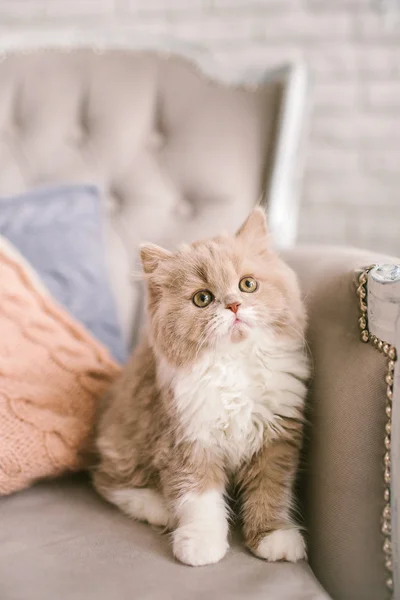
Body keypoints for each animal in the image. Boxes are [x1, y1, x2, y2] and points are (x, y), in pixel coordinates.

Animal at [93, 210, 310, 568]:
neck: (233, 366)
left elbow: (271, 491)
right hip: (125, 443)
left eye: (248, 284)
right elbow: (199, 499)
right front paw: (201, 543)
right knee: (107, 481)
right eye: (202, 298)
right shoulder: (187, 439)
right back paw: (159, 509)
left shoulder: (276, 438)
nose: (234, 306)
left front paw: (273, 537)